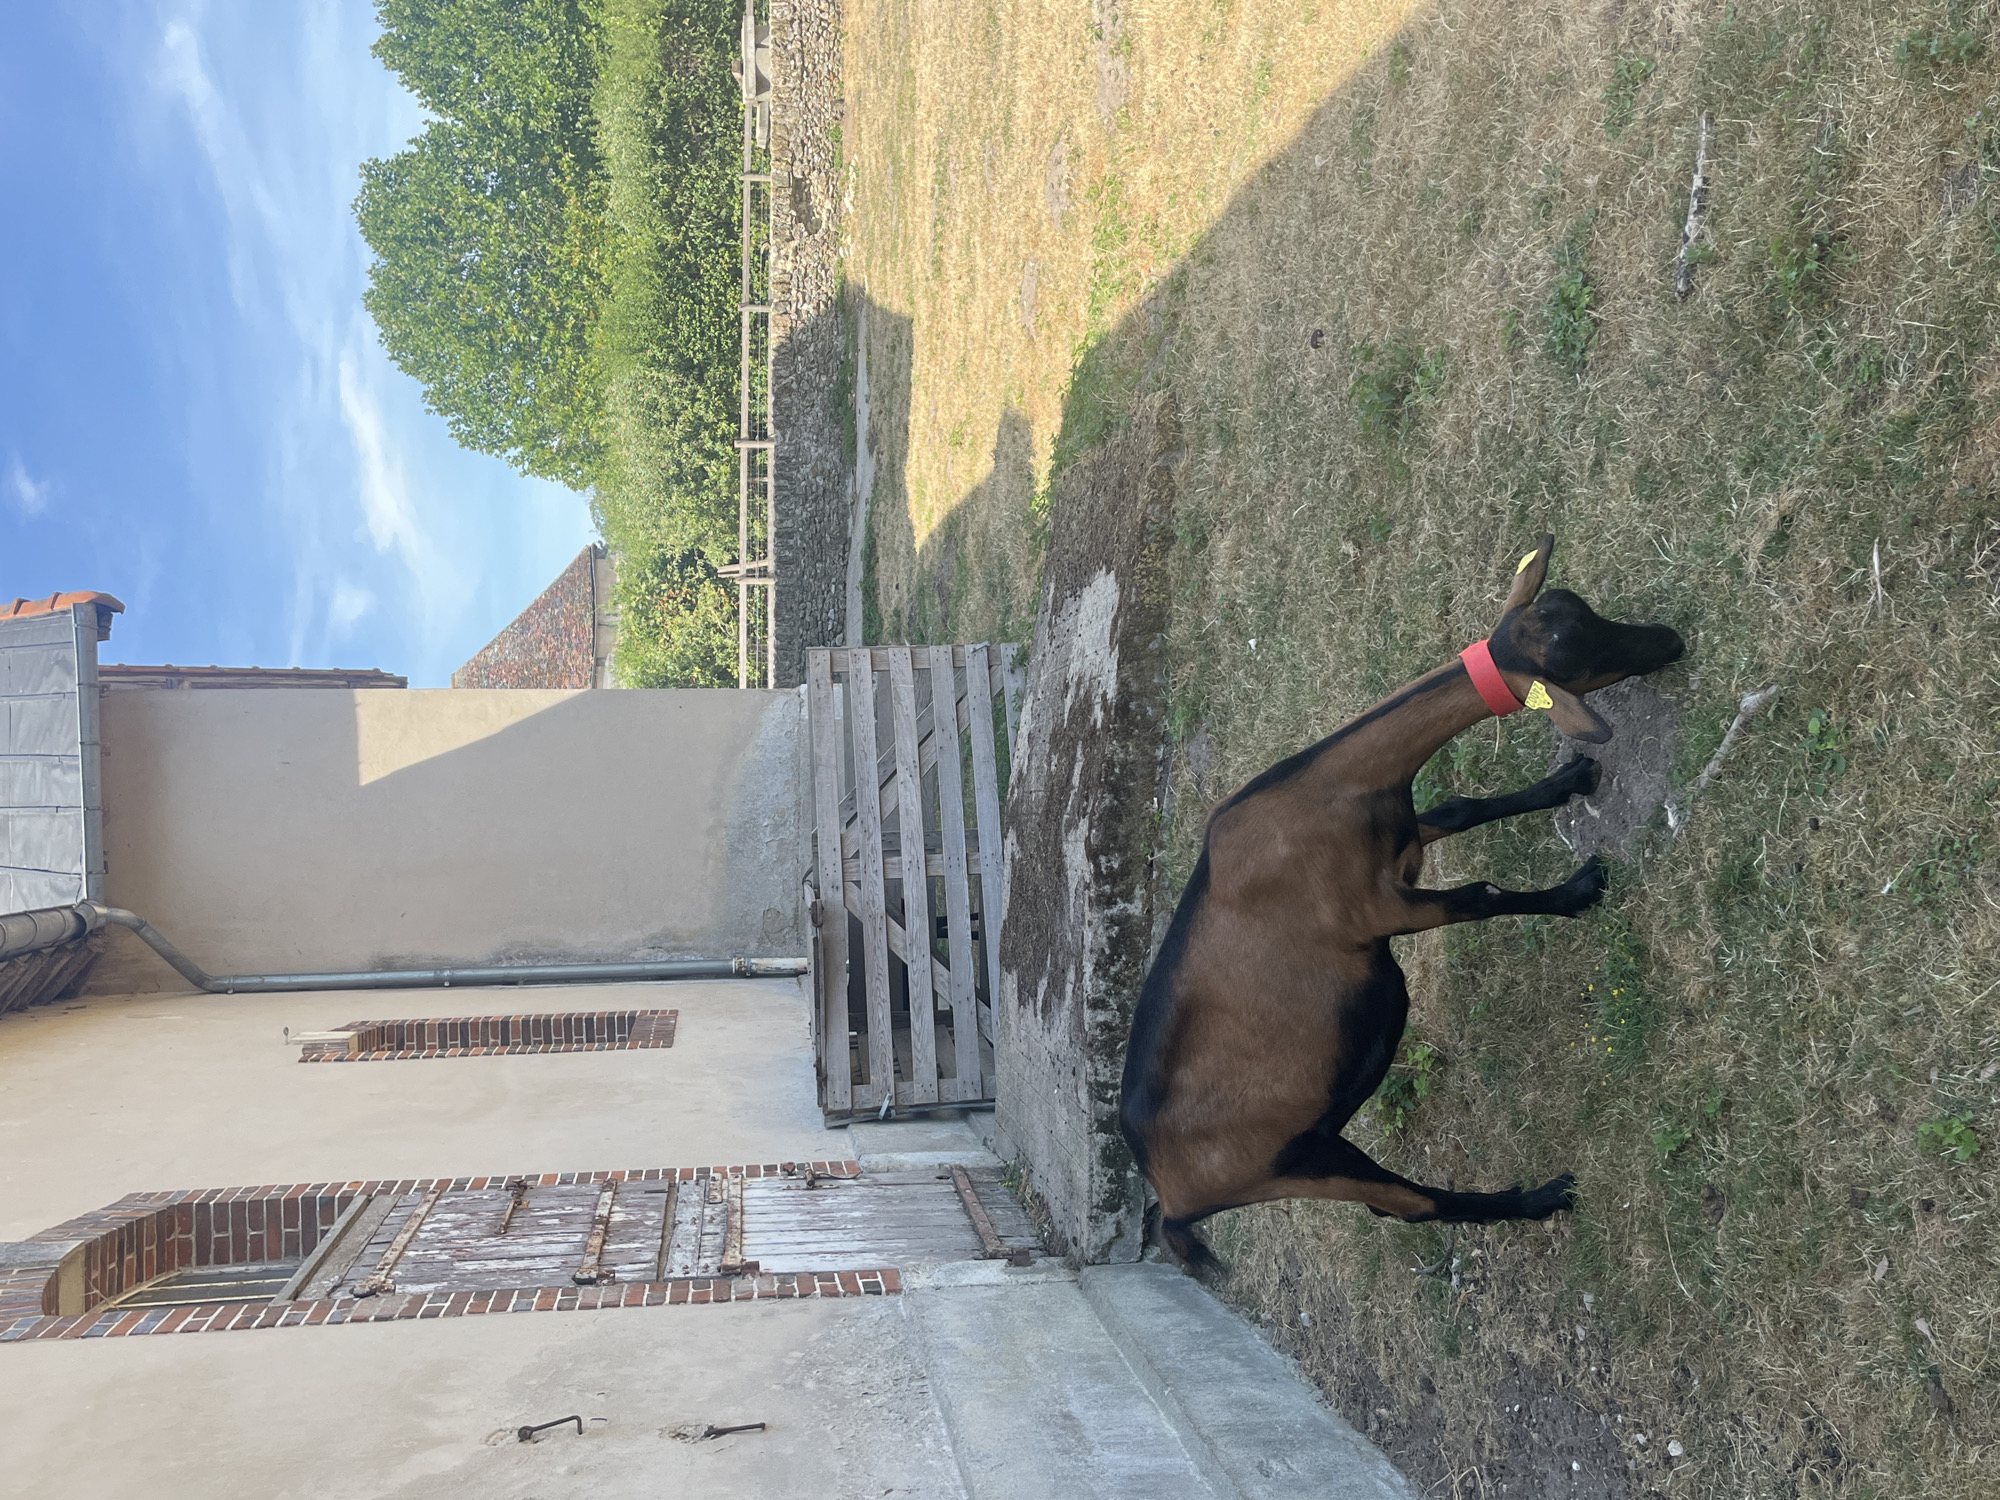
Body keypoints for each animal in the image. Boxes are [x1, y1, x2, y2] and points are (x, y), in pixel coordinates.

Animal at [1118, 535, 1684, 1267]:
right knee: (1413, 1206)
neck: (1330, 791)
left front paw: (1568, 779)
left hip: (1317, 1144)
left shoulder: (1403, 843)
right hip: (1291, 1166)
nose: (1670, 641)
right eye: (1578, 658)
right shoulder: (1376, 913)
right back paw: (1539, 1199)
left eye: (1583, 611)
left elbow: (1461, 806)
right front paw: (1579, 890)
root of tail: (1167, 1200)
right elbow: (1479, 895)